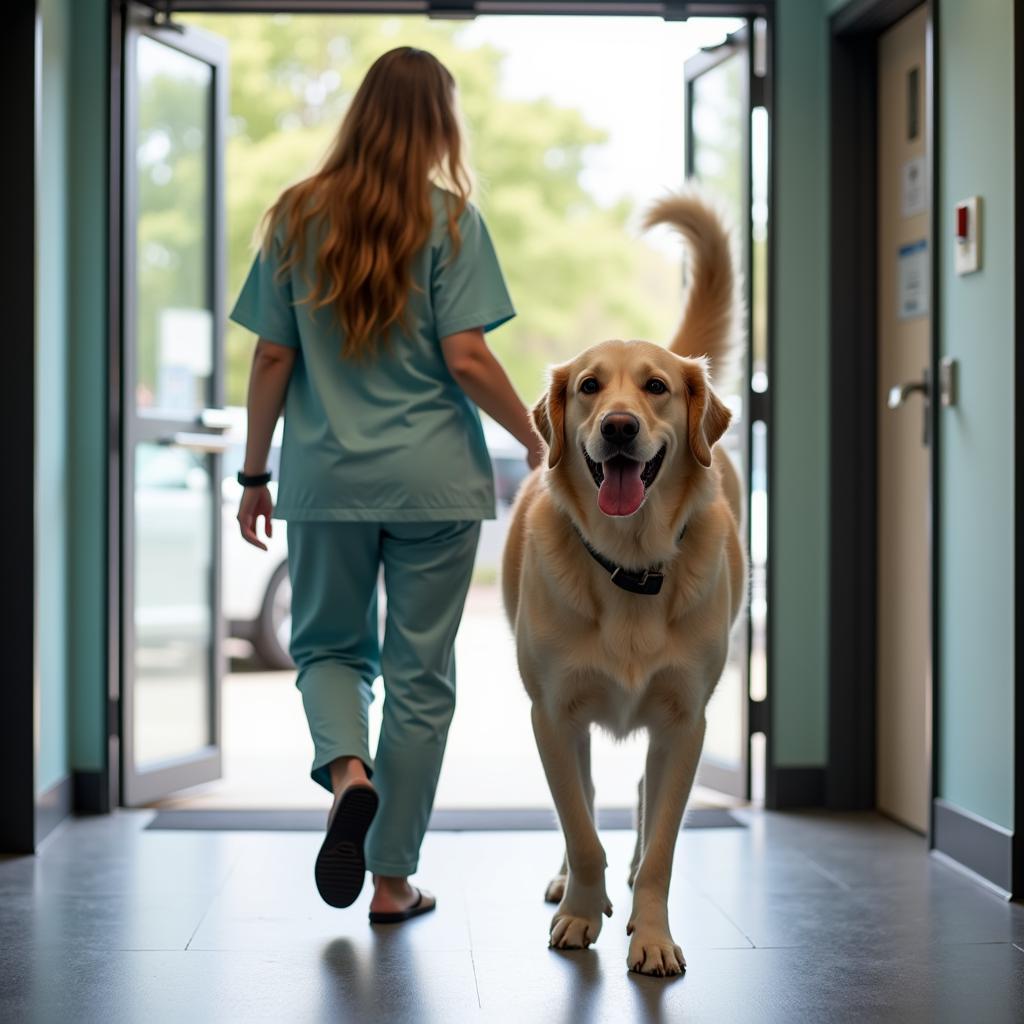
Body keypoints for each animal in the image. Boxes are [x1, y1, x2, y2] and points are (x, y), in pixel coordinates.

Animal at [501, 192, 745, 974]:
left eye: (656, 387)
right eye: (588, 386)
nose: (616, 427)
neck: (629, 564)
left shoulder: (685, 722)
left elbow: (662, 843)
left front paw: (653, 932)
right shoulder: (552, 713)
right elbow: (580, 826)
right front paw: (582, 911)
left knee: (638, 797)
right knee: (579, 795)